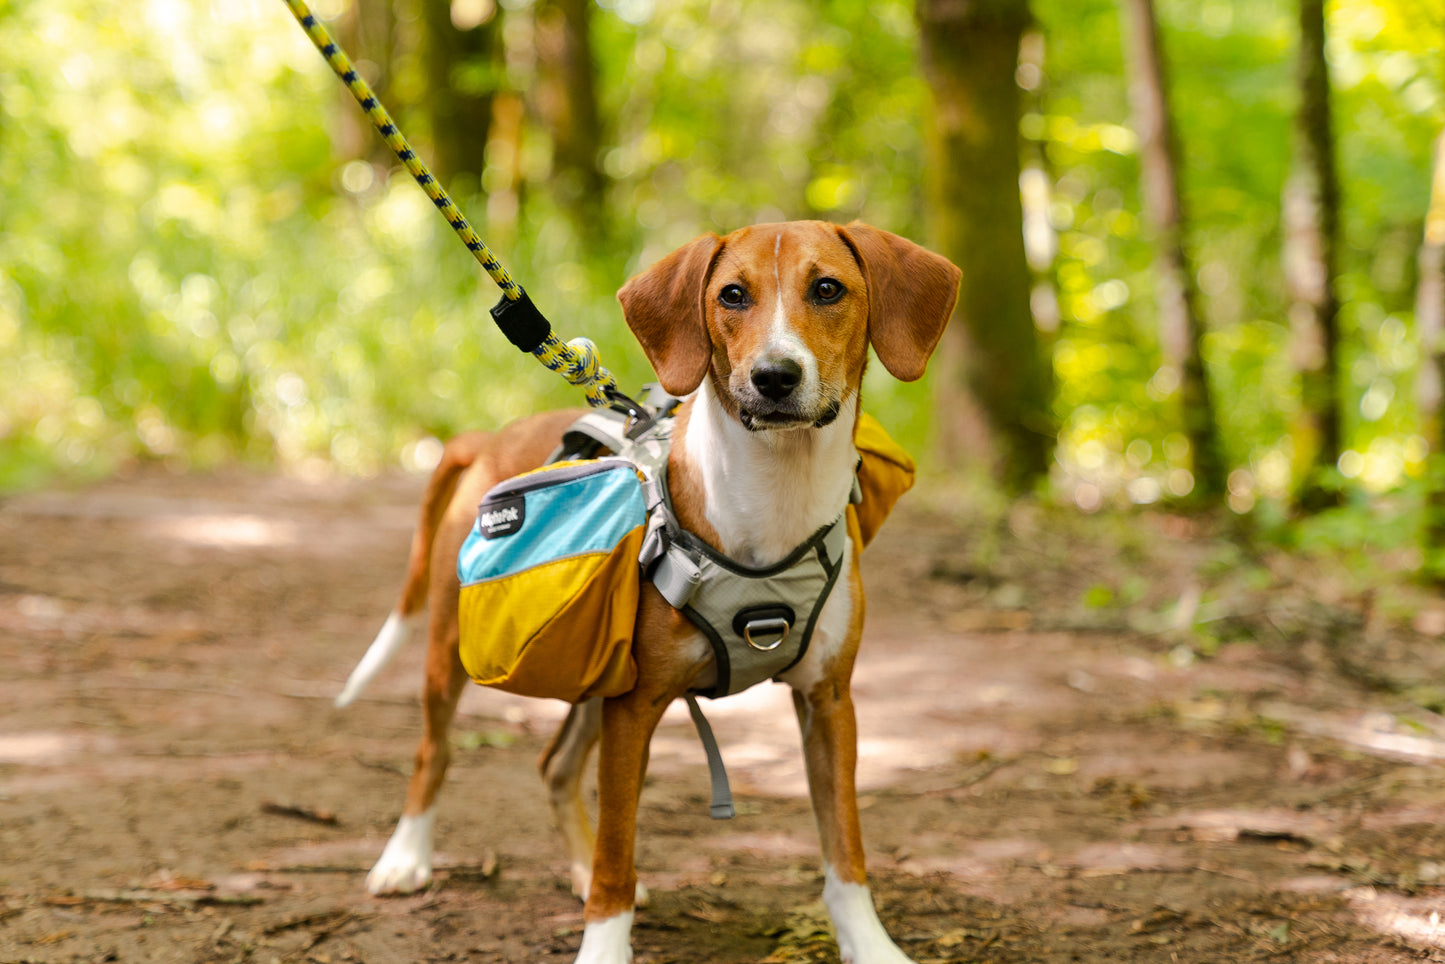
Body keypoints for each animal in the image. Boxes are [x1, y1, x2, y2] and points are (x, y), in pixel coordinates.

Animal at [332, 221, 953, 964]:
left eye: (828, 288)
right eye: (732, 295)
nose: (774, 376)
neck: (775, 496)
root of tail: (491, 438)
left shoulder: (828, 700)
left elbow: (845, 847)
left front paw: (870, 944)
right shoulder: (637, 707)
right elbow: (617, 854)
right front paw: (603, 944)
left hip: (597, 672)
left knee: (555, 766)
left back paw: (569, 867)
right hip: (455, 649)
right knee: (435, 751)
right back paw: (406, 858)